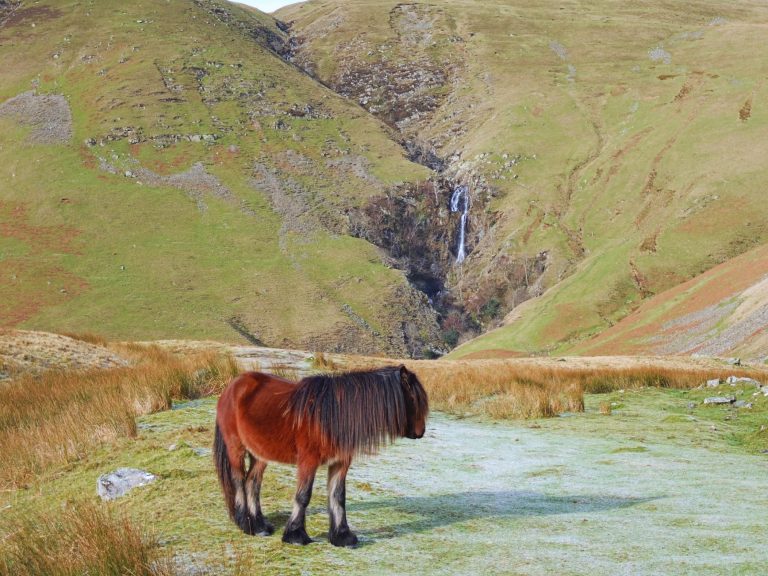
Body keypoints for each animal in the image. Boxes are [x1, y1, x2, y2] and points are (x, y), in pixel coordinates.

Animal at [213, 366, 428, 548]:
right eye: (414, 399)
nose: (421, 432)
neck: (331, 414)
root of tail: (233, 385)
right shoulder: (308, 461)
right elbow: (303, 496)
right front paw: (296, 535)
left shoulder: (340, 463)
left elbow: (338, 496)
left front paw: (342, 536)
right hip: (236, 449)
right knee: (239, 481)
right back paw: (246, 523)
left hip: (260, 454)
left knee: (252, 482)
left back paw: (259, 526)